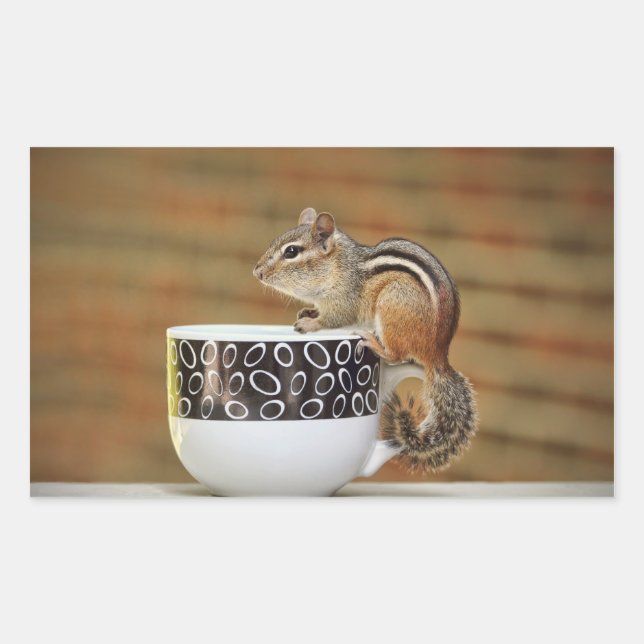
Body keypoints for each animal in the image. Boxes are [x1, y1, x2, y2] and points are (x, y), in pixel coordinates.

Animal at [253, 207, 478, 472]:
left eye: (291, 252)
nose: (257, 272)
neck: (338, 265)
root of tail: (438, 355)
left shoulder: (344, 299)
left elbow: (335, 319)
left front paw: (310, 323)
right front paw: (308, 312)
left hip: (392, 305)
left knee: (396, 355)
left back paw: (371, 341)